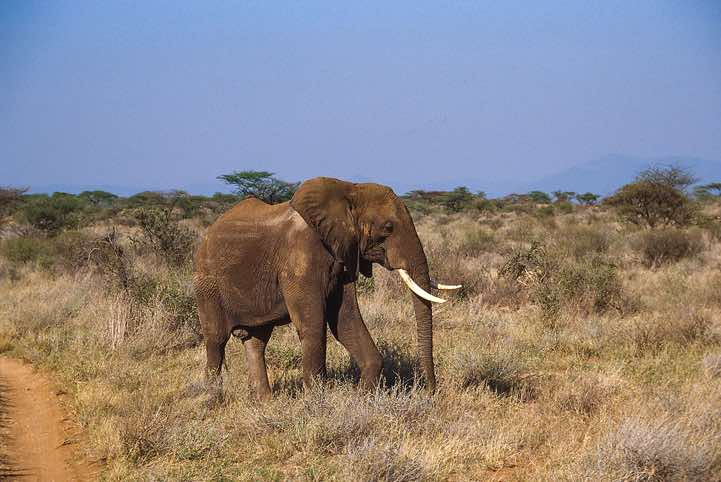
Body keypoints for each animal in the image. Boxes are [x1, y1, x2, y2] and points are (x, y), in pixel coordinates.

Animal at [193, 177, 460, 399]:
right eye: (388, 228)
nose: (429, 392)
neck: (349, 190)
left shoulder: (344, 258)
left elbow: (345, 319)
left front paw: (361, 399)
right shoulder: (300, 258)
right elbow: (313, 324)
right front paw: (316, 401)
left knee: (256, 341)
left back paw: (264, 401)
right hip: (207, 284)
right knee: (216, 339)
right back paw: (211, 399)